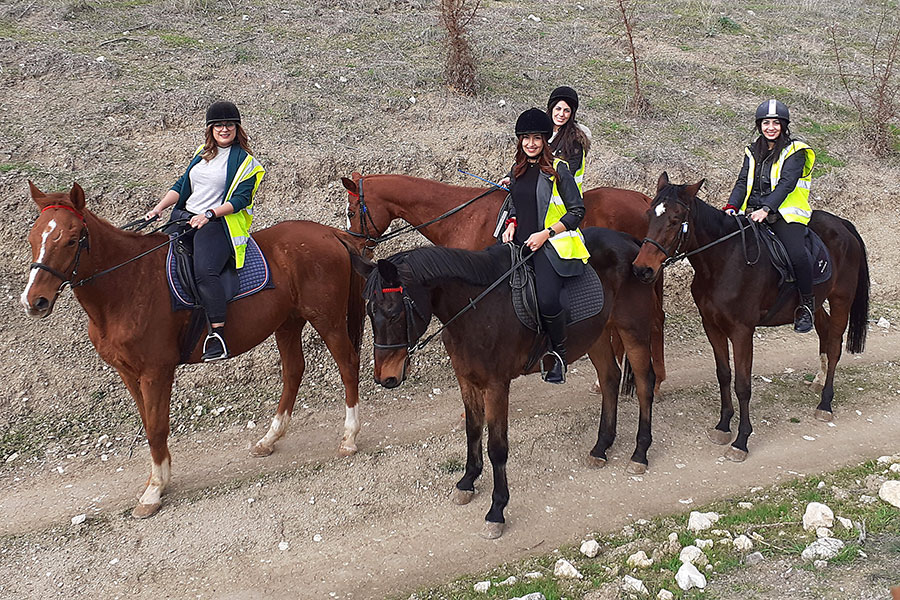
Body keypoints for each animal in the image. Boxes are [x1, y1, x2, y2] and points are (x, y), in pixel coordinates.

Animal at [21, 182, 366, 518]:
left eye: (72, 240)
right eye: (33, 237)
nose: (34, 301)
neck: (128, 284)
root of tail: (329, 233)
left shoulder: (156, 372)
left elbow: (157, 428)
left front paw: (154, 490)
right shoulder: (129, 373)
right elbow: (148, 423)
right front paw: (156, 479)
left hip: (327, 320)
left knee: (348, 365)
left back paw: (349, 437)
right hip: (288, 322)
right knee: (293, 371)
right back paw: (270, 438)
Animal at [349, 227, 657, 538]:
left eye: (394, 313)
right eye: (369, 312)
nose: (385, 378)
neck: (476, 308)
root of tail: (630, 242)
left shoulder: (496, 385)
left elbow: (497, 447)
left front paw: (497, 509)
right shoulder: (467, 380)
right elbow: (473, 430)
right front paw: (467, 481)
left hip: (633, 328)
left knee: (645, 383)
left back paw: (639, 454)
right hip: (597, 333)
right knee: (609, 379)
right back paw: (601, 446)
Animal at [632, 172, 869, 461]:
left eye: (675, 220)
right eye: (649, 215)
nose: (642, 269)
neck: (723, 261)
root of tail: (842, 224)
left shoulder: (742, 332)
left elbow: (742, 385)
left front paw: (741, 440)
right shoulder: (712, 326)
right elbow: (723, 374)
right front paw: (723, 426)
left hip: (841, 300)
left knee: (834, 346)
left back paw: (825, 403)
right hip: (814, 304)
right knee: (824, 334)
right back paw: (819, 382)